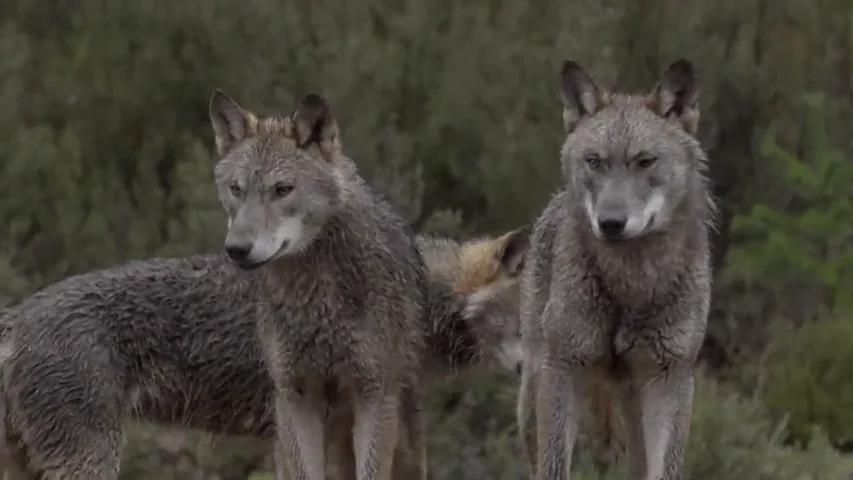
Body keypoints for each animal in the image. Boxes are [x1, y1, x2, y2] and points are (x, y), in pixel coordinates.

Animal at [210, 91, 430, 480]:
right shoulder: (297, 396)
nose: (237, 249)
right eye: (236, 189)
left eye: (282, 190)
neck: (313, 297)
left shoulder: (374, 395)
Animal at [516, 59, 716, 480]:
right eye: (594, 161)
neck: (630, 284)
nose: (610, 223)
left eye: (645, 161)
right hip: (534, 400)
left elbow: (666, 470)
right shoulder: (563, 371)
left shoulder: (670, 380)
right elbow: (555, 467)